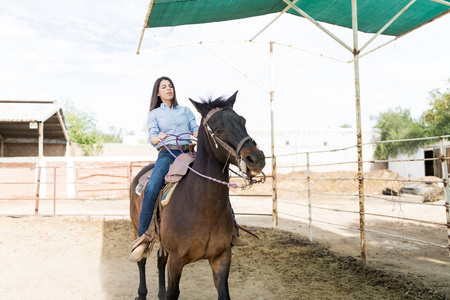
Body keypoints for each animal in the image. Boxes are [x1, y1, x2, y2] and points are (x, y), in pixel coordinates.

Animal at [128, 92, 266, 300]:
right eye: (217, 129)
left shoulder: (221, 258)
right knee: (142, 260)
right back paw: (141, 292)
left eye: (243, 121)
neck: (200, 205)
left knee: (160, 260)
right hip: (138, 228)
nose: (256, 159)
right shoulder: (176, 261)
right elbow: (173, 292)